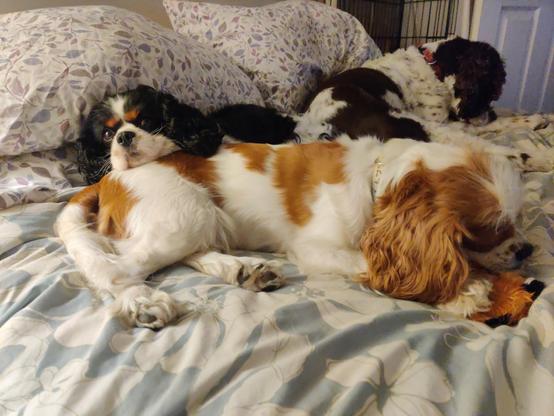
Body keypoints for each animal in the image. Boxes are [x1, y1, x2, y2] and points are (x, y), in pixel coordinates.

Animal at [55, 130, 540, 328]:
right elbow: (372, 264)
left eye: (519, 219)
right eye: (488, 230)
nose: (527, 250)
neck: (378, 180)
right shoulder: (316, 248)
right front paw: (466, 291)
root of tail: (109, 177)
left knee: (193, 252)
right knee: (114, 268)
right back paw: (142, 302)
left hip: (199, 218)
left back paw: (244, 270)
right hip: (184, 214)